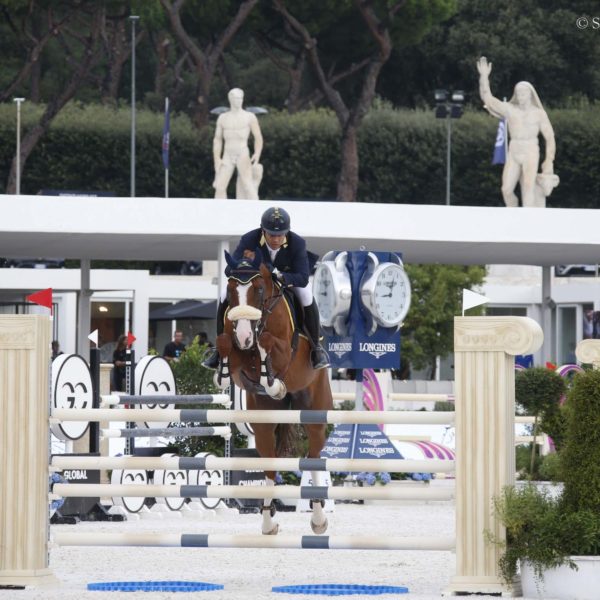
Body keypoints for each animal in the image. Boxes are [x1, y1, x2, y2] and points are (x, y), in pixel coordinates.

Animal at [212, 250, 332, 536]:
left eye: (258, 289)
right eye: (230, 291)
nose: (245, 335)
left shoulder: (285, 353)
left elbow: (268, 344)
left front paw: (275, 384)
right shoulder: (239, 358)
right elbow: (225, 343)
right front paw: (221, 372)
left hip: (315, 413)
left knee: (313, 458)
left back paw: (318, 519)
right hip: (264, 425)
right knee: (269, 466)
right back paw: (268, 522)